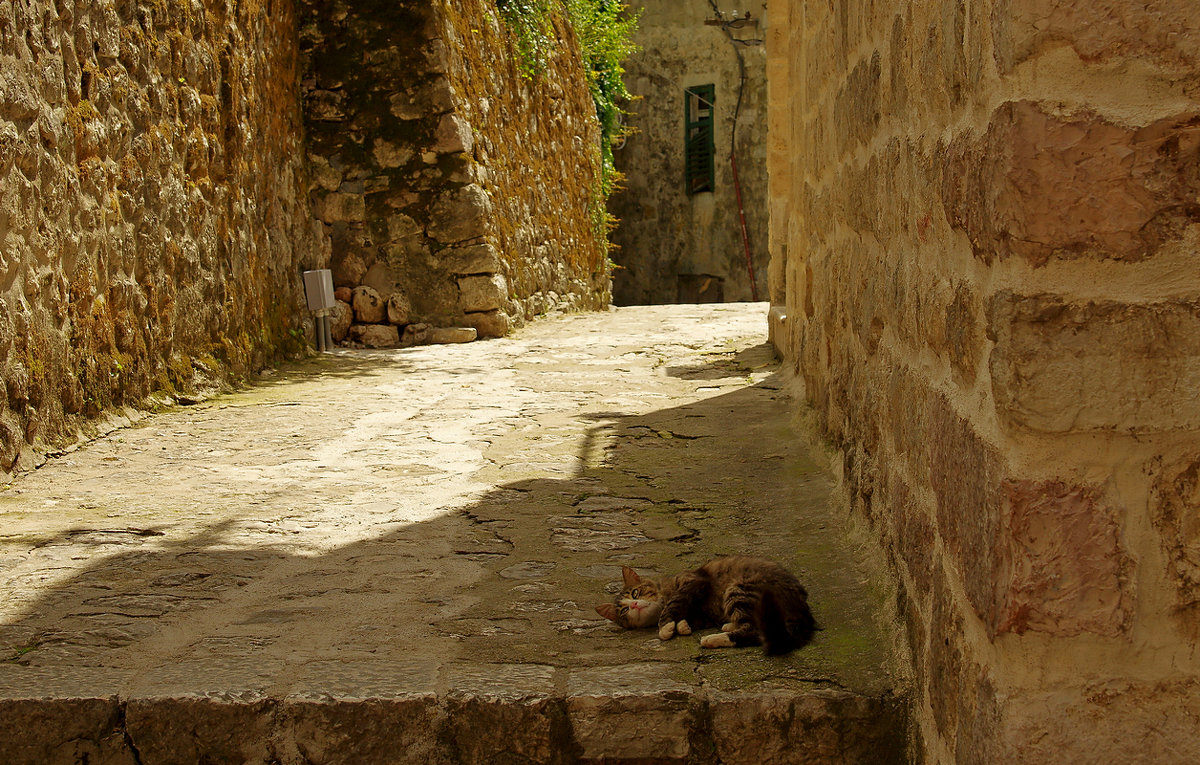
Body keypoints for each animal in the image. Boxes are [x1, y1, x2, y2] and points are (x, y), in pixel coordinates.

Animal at [597, 553, 820, 657]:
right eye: (624, 610)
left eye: (635, 593)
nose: (634, 605)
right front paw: (681, 625)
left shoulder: (693, 582)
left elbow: (673, 604)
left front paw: (666, 627)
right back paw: (727, 626)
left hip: (738, 588)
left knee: (754, 631)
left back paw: (713, 638)